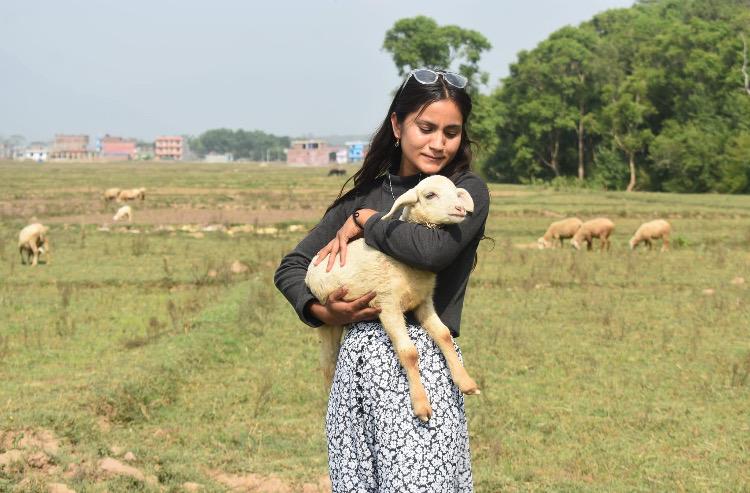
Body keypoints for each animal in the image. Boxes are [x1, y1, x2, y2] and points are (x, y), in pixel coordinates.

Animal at [306, 175, 480, 422]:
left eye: (457, 193)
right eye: (430, 195)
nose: (460, 209)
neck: (407, 267)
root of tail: (311, 268)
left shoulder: (424, 302)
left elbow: (444, 335)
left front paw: (465, 382)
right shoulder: (387, 305)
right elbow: (409, 353)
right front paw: (421, 405)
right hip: (327, 317)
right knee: (329, 363)